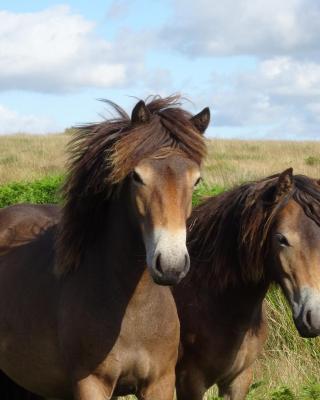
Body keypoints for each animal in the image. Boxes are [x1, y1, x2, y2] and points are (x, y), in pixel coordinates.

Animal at [0, 96, 210, 400]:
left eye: (196, 180)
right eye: (137, 177)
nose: (170, 265)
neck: (133, 307)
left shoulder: (159, 382)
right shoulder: (92, 384)